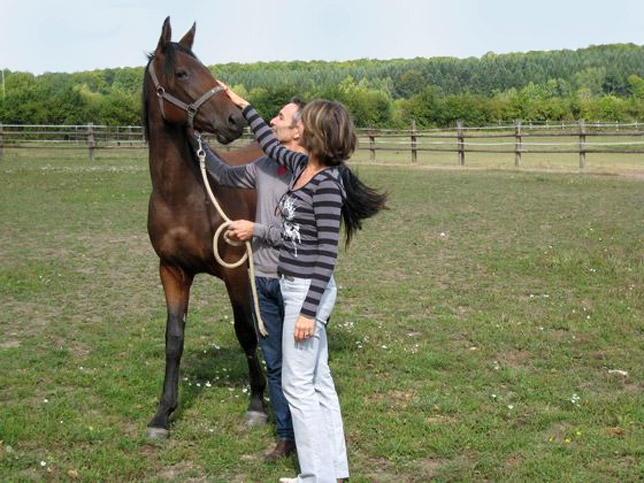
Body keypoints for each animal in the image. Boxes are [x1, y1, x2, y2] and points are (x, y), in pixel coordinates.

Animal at [142, 16, 266, 438]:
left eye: (207, 69)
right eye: (182, 73)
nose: (235, 119)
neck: (183, 197)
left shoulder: (233, 270)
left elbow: (245, 331)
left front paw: (258, 403)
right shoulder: (172, 271)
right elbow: (173, 338)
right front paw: (162, 413)